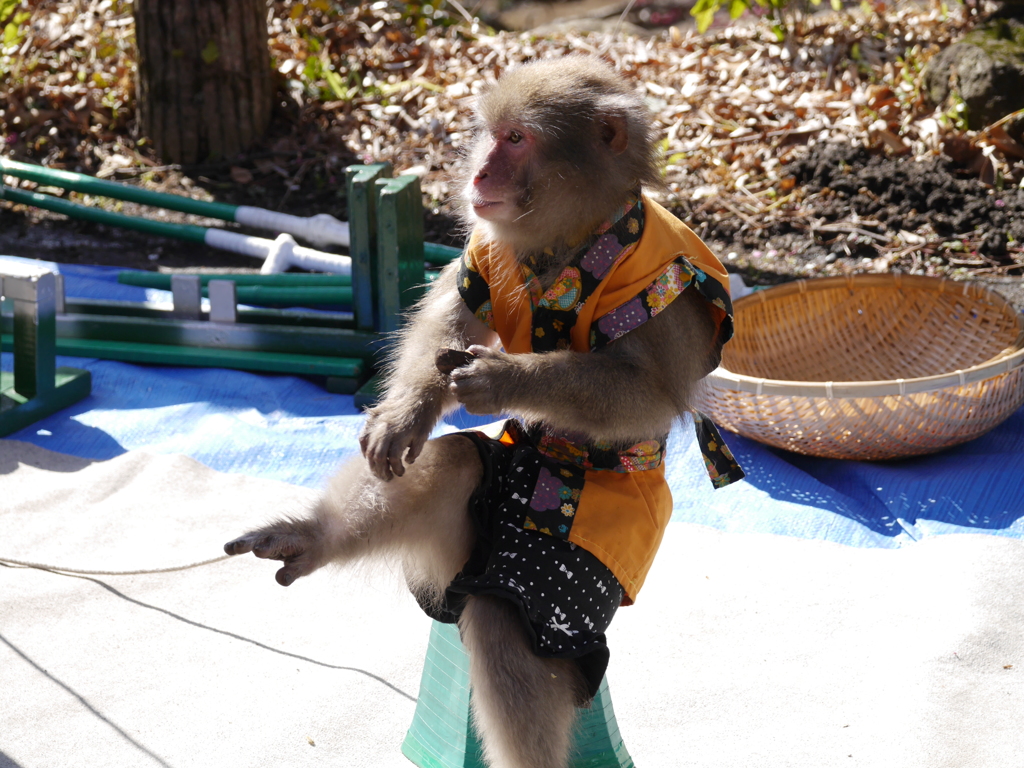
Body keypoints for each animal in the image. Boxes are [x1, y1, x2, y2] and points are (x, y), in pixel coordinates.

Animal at [224, 55, 741, 768]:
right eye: (492, 136)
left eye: (517, 140)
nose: (479, 174)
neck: (570, 237)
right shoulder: (484, 243)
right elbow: (452, 319)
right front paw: (405, 415)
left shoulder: (668, 287)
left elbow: (652, 397)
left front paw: (502, 378)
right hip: (459, 557)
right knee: (455, 469)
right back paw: (316, 535)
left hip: (580, 582)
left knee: (504, 614)